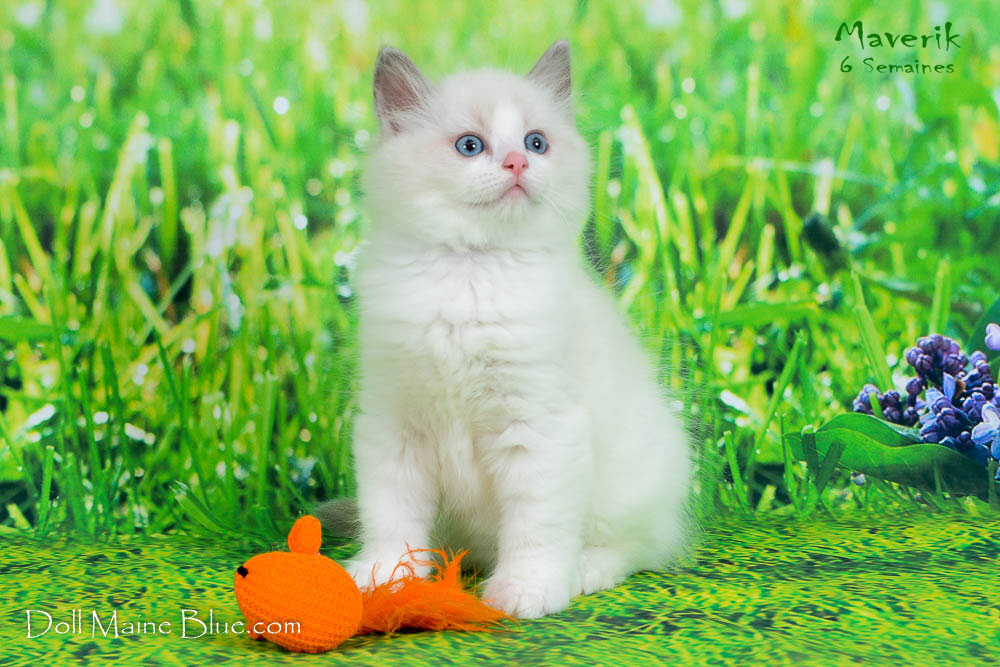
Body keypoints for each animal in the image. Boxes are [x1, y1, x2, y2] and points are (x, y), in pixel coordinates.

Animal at [336, 40, 693, 619]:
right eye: (470, 145)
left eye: (536, 142)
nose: (518, 161)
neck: (470, 272)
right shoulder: (393, 424)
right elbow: (390, 514)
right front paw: (385, 577)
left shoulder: (541, 427)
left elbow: (536, 527)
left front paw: (526, 590)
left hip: (631, 485)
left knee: (637, 547)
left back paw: (584, 571)